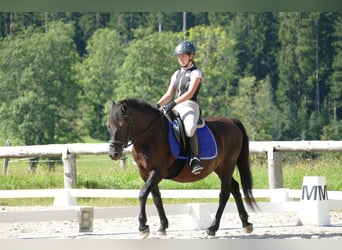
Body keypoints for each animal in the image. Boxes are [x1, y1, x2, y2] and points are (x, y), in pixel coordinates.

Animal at [107, 97, 256, 238]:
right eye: (109, 126)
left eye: (122, 125)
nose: (113, 154)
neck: (150, 137)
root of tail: (231, 121)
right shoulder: (145, 173)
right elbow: (156, 197)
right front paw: (162, 227)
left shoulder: (158, 172)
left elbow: (142, 194)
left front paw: (143, 227)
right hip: (220, 168)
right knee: (235, 188)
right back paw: (246, 223)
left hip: (227, 165)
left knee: (224, 194)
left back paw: (212, 228)